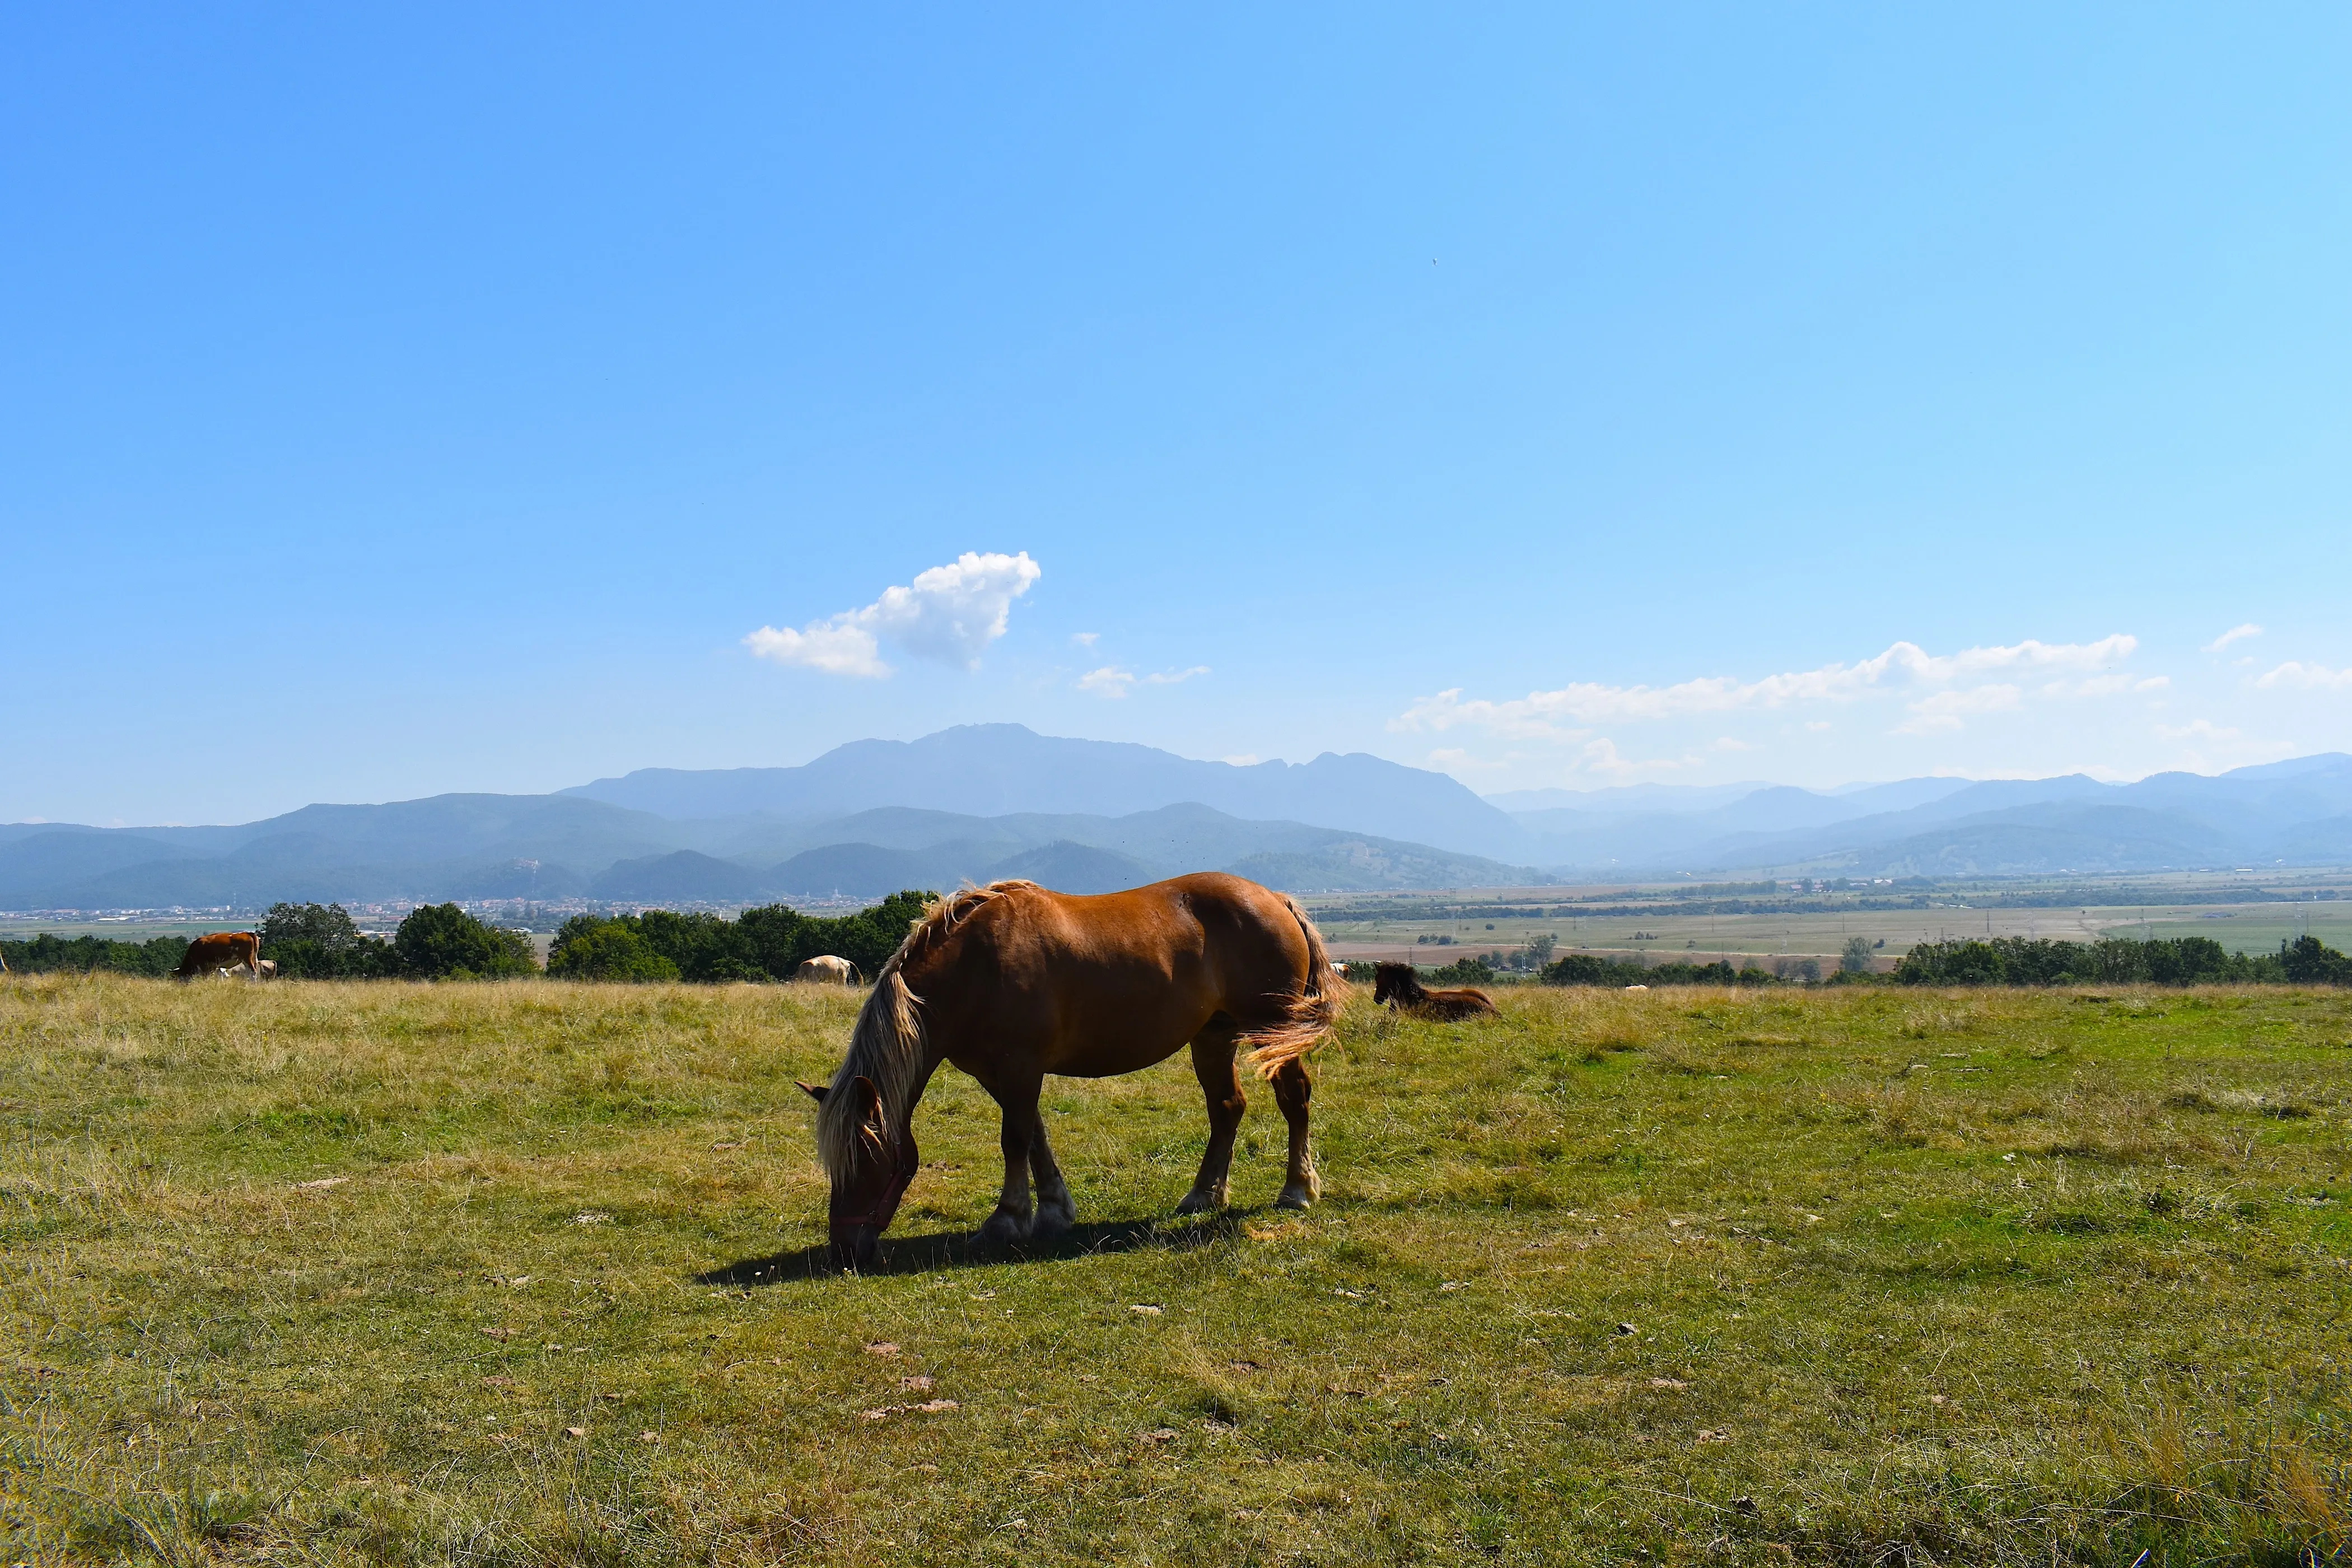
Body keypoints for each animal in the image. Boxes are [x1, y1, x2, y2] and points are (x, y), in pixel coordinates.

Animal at [801, 873, 1343, 1271]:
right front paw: (1054, 1210)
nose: (844, 1250)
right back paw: (1204, 1195)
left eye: (865, 1159)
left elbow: (1015, 1140)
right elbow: (1034, 1137)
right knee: (1227, 1108)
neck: (974, 965)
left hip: (1271, 1032)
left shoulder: (1020, 1068)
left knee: (1294, 1098)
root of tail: (1276, 899)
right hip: (1213, 1036)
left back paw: (1297, 1190)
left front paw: (1007, 1220)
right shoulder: (1001, 1075)